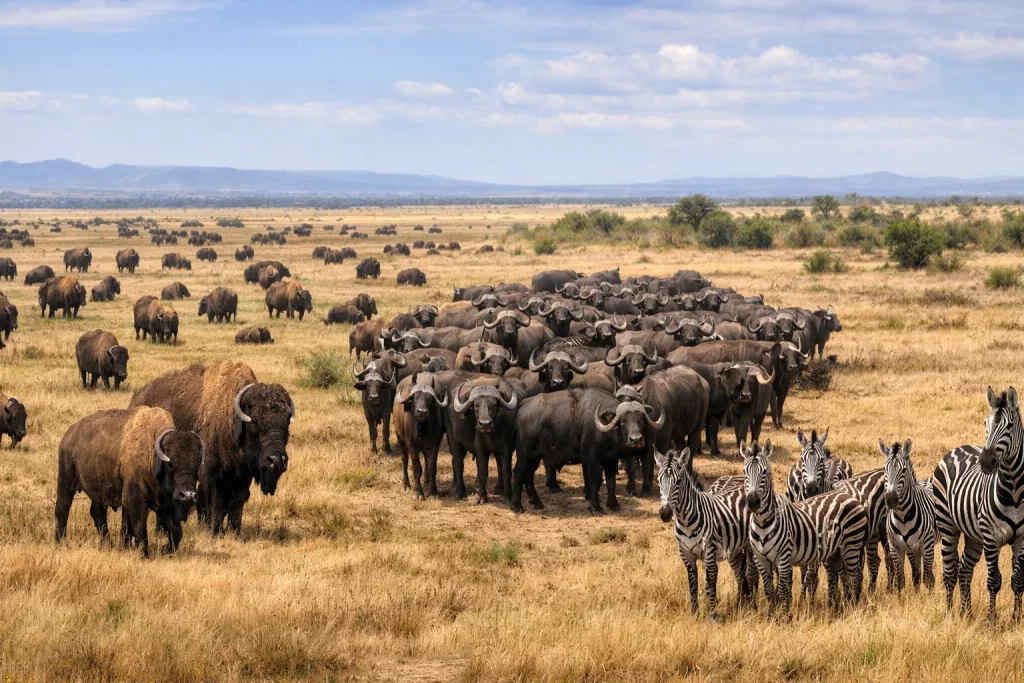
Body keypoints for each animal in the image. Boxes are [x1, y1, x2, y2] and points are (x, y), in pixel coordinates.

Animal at [656, 448, 754, 620]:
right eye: (659, 481)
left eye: (678, 482)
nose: (665, 514)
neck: (685, 521)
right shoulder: (686, 554)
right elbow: (692, 585)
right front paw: (695, 613)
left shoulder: (709, 552)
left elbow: (709, 585)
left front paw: (713, 615)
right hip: (734, 548)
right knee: (740, 573)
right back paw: (741, 603)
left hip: (750, 544)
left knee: (750, 572)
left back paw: (752, 603)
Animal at [743, 440, 868, 617]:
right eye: (744, 471)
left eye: (765, 472)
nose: (753, 501)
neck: (762, 524)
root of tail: (850, 497)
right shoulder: (760, 559)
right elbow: (768, 591)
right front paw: (771, 616)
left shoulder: (783, 557)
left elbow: (783, 590)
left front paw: (785, 617)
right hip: (836, 551)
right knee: (844, 576)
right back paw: (845, 605)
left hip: (852, 544)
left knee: (855, 575)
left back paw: (854, 608)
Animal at [878, 438, 935, 593]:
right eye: (884, 470)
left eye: (903, 470)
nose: (890, 499)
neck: (903, 516)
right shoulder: (896, 547)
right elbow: (901, 579)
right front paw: (901, 596)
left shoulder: (927, 546)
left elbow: (926, 577)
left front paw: (928, 597)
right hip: (913, 549)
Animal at [933, 386, 1024, 623]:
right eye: (985, 424)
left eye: (1010, 426)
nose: (986, 462)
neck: (1014, 490)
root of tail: (957, 448)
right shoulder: (991, 537)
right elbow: (994, 580)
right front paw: (991, 621)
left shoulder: (1022, 539)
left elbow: (1018, 580)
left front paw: (1016, 618)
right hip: (948, 527)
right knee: (950, 572)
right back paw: (950, 614)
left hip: (974, 536)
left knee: (964, 569)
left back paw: (967, 613)